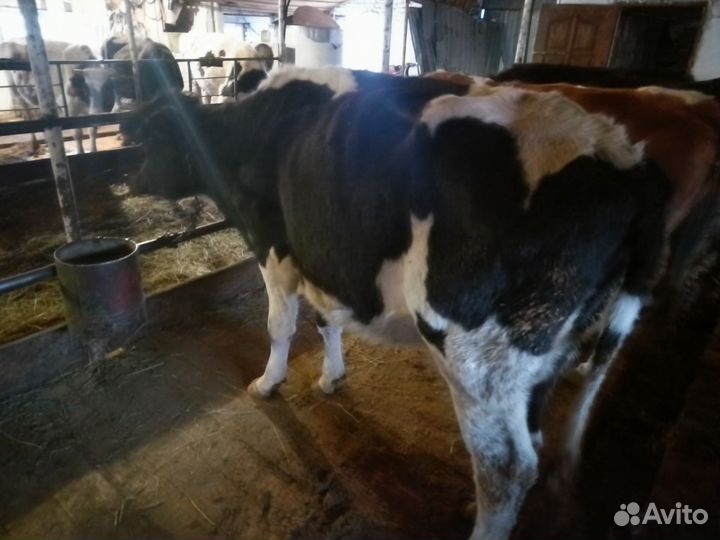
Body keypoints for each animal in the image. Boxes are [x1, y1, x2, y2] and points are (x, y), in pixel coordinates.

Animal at [122, 67, 674, 540]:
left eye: (151, 139)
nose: (132, 181)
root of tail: (619, 153)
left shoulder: (274, 247)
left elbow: (280, 325)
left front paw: (267, 382)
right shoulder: (323, 255)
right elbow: (326, 321)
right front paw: (331, 377)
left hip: (479, 354)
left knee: (507, 467)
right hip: (547, 351)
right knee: (531, 442)